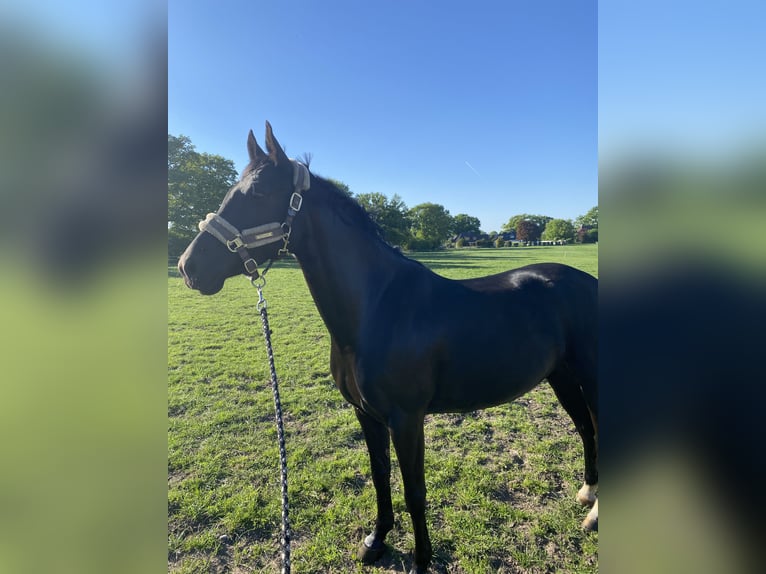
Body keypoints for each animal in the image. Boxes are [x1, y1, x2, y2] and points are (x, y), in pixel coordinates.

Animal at [180, 124, 600, 572]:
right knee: (585, 428)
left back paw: (594, 514)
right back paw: (587, 494)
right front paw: (375, 540)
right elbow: (380, 475)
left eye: (258, 192)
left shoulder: (407, 419)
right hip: (561, 377)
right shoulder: (367, 414)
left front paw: (421, 560)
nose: (189, 267)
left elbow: (415, 491)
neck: (376, 308)